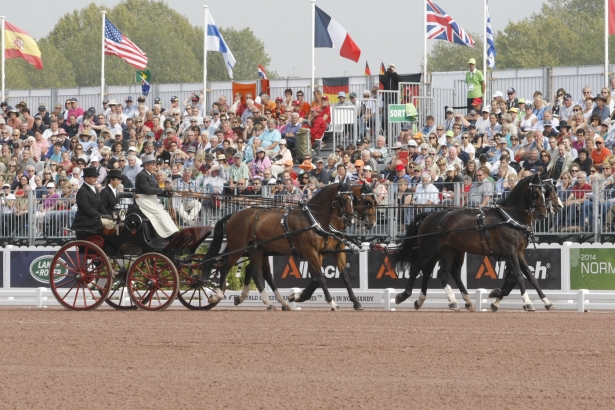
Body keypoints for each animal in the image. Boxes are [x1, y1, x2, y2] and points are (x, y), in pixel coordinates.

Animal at [202, 183, 356, 310]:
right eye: (343, 199)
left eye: (353, 199)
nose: (351, 219)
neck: (312, 219)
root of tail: (233, 215)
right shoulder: (311, 253)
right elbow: (321, 278)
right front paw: (333, 303)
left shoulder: (321, 253)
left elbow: (328, 277)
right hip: (237, 248)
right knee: (226, 269)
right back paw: (218, 296)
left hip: (257, 250)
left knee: (257, 272)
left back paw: (270, 302)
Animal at [394, 173, 552, 310]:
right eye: (535, 193)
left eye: (545, 192)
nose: (543, 214)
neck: (510, 217)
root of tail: (428, 216)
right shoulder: (510, 252)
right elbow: (519, 276)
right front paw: (527, 302)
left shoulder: (519, 253)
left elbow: (530, 277)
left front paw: (546, 301)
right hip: (429, 250)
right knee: (417, 269)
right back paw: (405, 295)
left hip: (448, 251)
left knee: (440, 272)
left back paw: (444, 300)